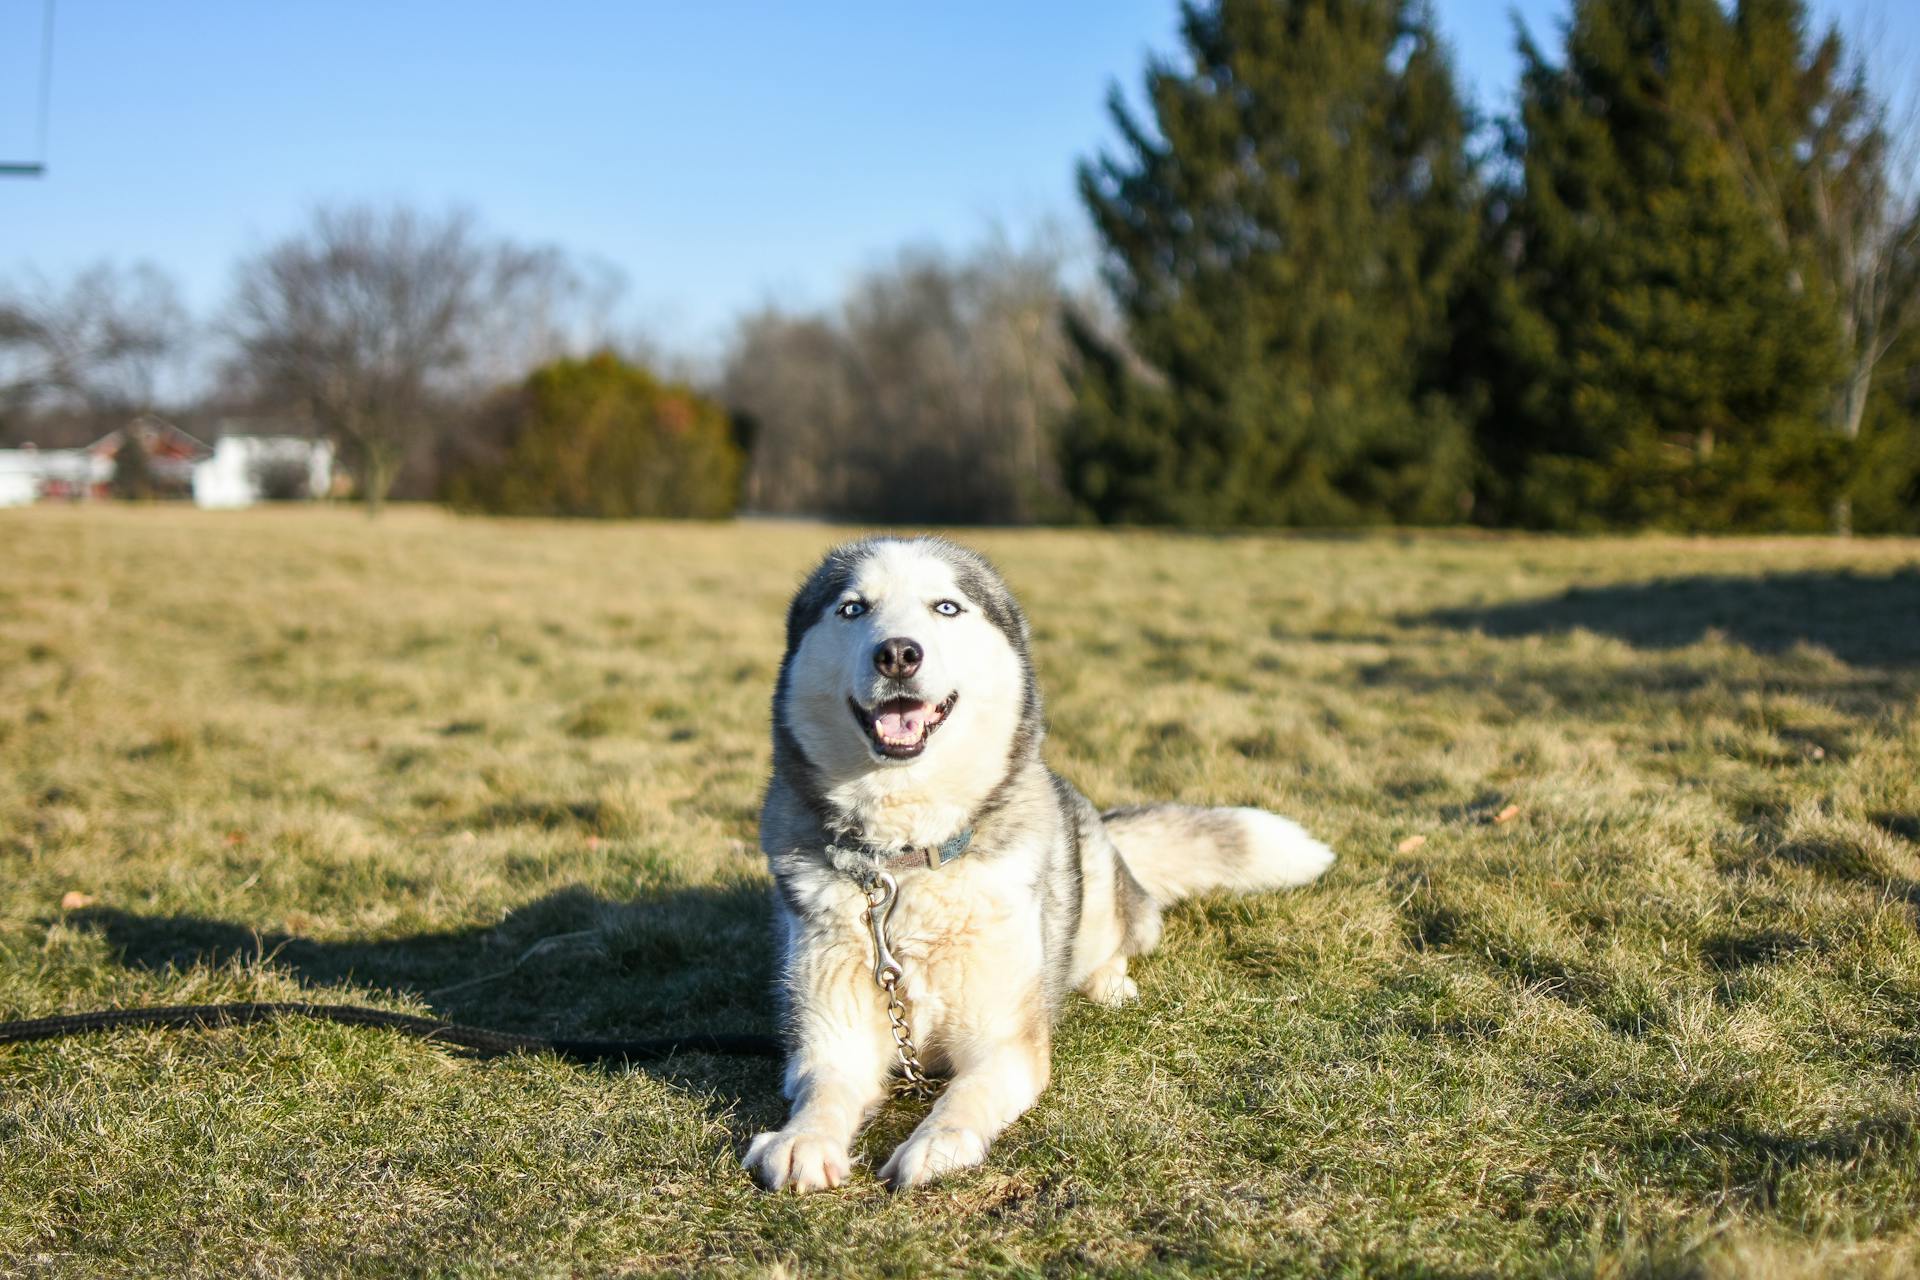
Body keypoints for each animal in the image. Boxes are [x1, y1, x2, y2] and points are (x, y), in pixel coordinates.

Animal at [744, 533, 1336, 1189]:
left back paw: (1110, 983)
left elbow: (964, 1095)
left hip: (1096, 890)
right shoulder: (829, 1040)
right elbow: (824, 1090)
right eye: (853, 608)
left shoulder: (1006, 1042)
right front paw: (803, 1140)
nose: (897, 653)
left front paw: (937, 1143)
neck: (906, 863)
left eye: (945, 607)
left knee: (1117, 939)